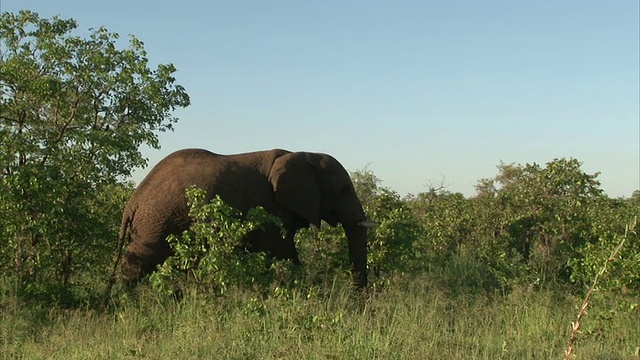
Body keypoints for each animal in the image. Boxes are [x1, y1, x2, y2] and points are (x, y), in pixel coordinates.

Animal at [106, 148, 376, 292]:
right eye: (342, 189)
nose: (360, 303)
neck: (302, 154)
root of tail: (133, 201)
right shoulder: (269, 208)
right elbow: (284, 254)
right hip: (156, 220)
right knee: (139, 262)